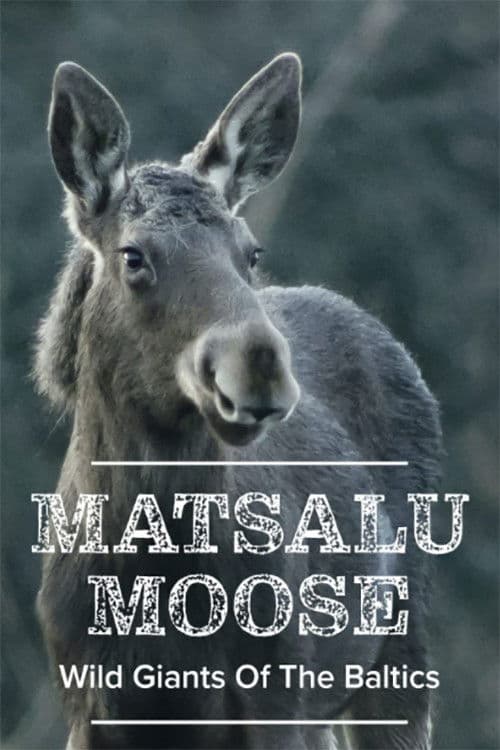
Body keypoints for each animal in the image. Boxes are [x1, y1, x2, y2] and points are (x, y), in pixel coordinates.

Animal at [35, 53, 441, 750]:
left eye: (252, 252)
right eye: (133, 255)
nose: (261, 369)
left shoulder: (275, 691)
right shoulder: (89, 705)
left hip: (397, 653)